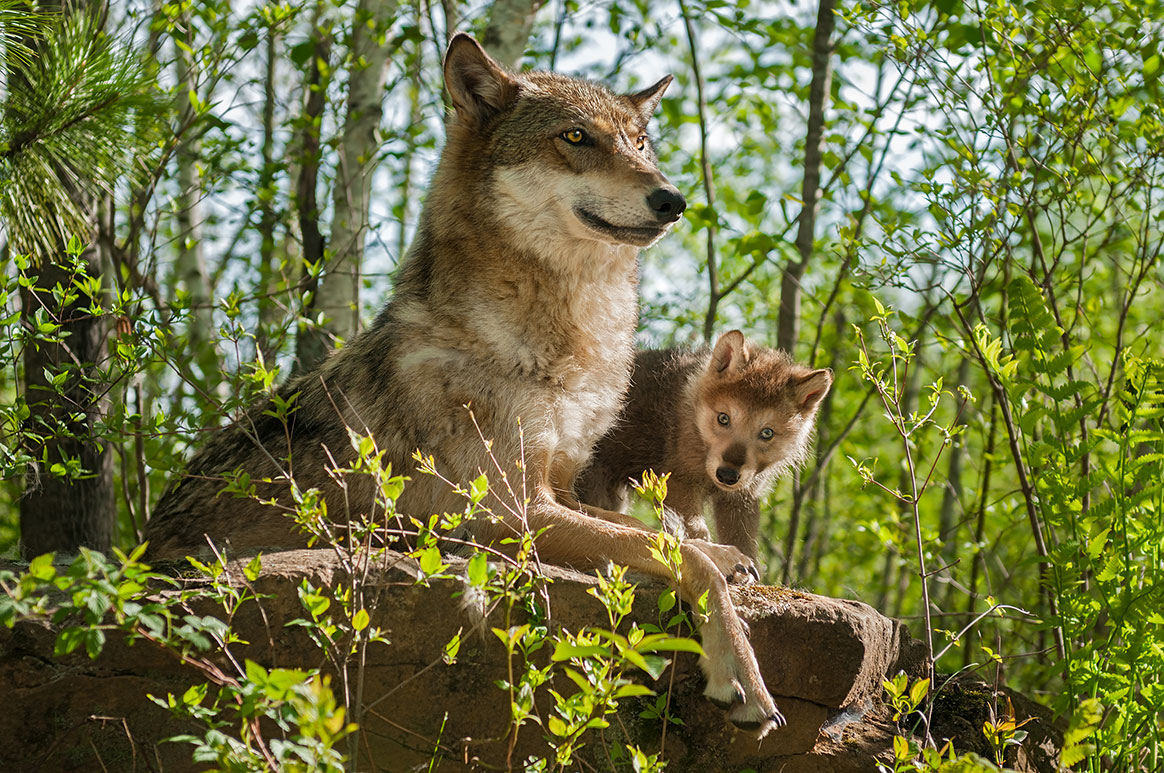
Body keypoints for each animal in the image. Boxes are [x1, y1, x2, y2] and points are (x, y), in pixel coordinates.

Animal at [143, 34, 782, 735]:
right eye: (576, 136)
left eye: (640, 142)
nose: (673, 199)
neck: (567, 339)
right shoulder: (508, 513)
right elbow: (670, 551)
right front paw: (741, 672)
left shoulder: (559, 488)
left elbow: (653, 532)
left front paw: (728, 556)